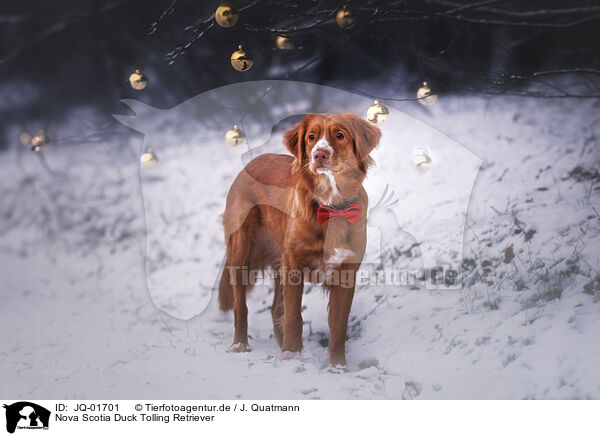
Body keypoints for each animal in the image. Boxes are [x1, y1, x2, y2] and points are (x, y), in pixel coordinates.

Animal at [219, 112, 380, 364]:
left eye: (340, 135)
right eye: (311, 137)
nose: (319, 155)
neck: (329, 206)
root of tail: (250, 163)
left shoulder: (345, 271)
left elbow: (338, 327)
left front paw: (338, 366)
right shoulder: (294, 264)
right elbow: (294, 316)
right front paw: (291, 355)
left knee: (275, 308)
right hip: (241, 251)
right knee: (240, 304)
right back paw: (240, 345)